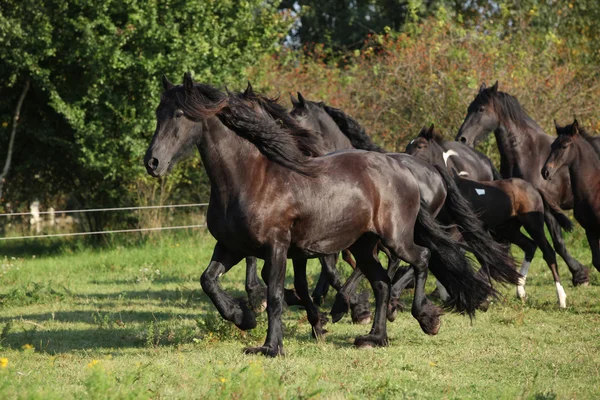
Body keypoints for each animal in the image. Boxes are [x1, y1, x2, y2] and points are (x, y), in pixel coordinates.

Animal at [142, 74, 516, 356]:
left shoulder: (278, 248)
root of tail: (406, 169)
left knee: (421, 259)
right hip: (364, 245)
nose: (153, 162)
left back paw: (424, 318)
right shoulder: (232, 246)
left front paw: (271, 346)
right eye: (158, 111)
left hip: (394, 238)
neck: (250, 177)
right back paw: (374, 337)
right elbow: (208, 280)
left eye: (179, 115)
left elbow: (277, 295)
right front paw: (244, 316)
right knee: (382, 282)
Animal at [454, 82, 592, 288]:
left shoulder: (547, 209)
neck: (529, 154)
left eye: (481, 109)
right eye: (469, 108)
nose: (462, 139)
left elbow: (558, 243)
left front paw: (579, 275)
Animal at [540, 119, 600, 276]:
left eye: (564, 146)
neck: (592, 190)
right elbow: (597, 262)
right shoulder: (590, 229)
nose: (545, 172)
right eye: (552, 145)